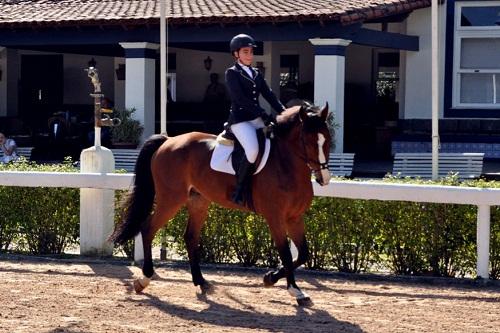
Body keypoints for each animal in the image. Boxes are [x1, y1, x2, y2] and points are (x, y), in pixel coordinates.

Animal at [111, 102, 334, 306]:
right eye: (308, 141)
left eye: (328, 140)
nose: (324, 179)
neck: (285, 164)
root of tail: (168, 140)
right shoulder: (275, 217)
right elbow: (287, 254)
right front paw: (294, 290)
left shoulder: (294, 217)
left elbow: (303, 254)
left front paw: (271, 278)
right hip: (171, 199)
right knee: (148, 228)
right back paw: (144, 279)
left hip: (198, 200)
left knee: (190, 236)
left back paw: (201, 282)